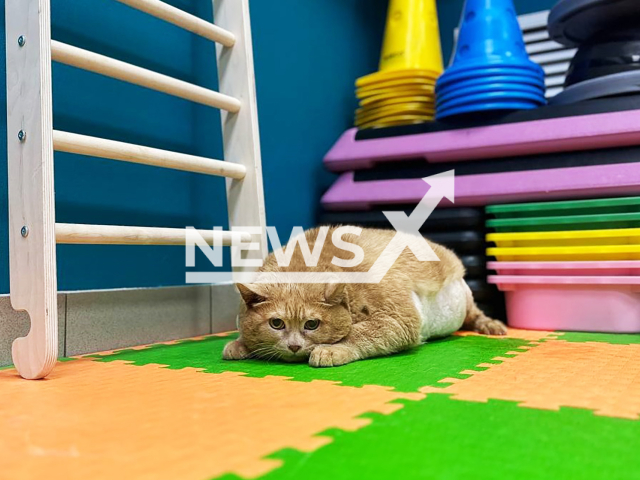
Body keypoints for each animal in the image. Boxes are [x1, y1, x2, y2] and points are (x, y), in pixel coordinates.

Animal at [222, 228, 508, 368]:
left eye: (312, 324)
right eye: (276, 324)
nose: (293, 346)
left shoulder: (399, 318)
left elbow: (359, 333)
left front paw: (332, 349)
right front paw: (240, 344)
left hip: (466, 299)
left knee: (476, 314)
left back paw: (492, 326)